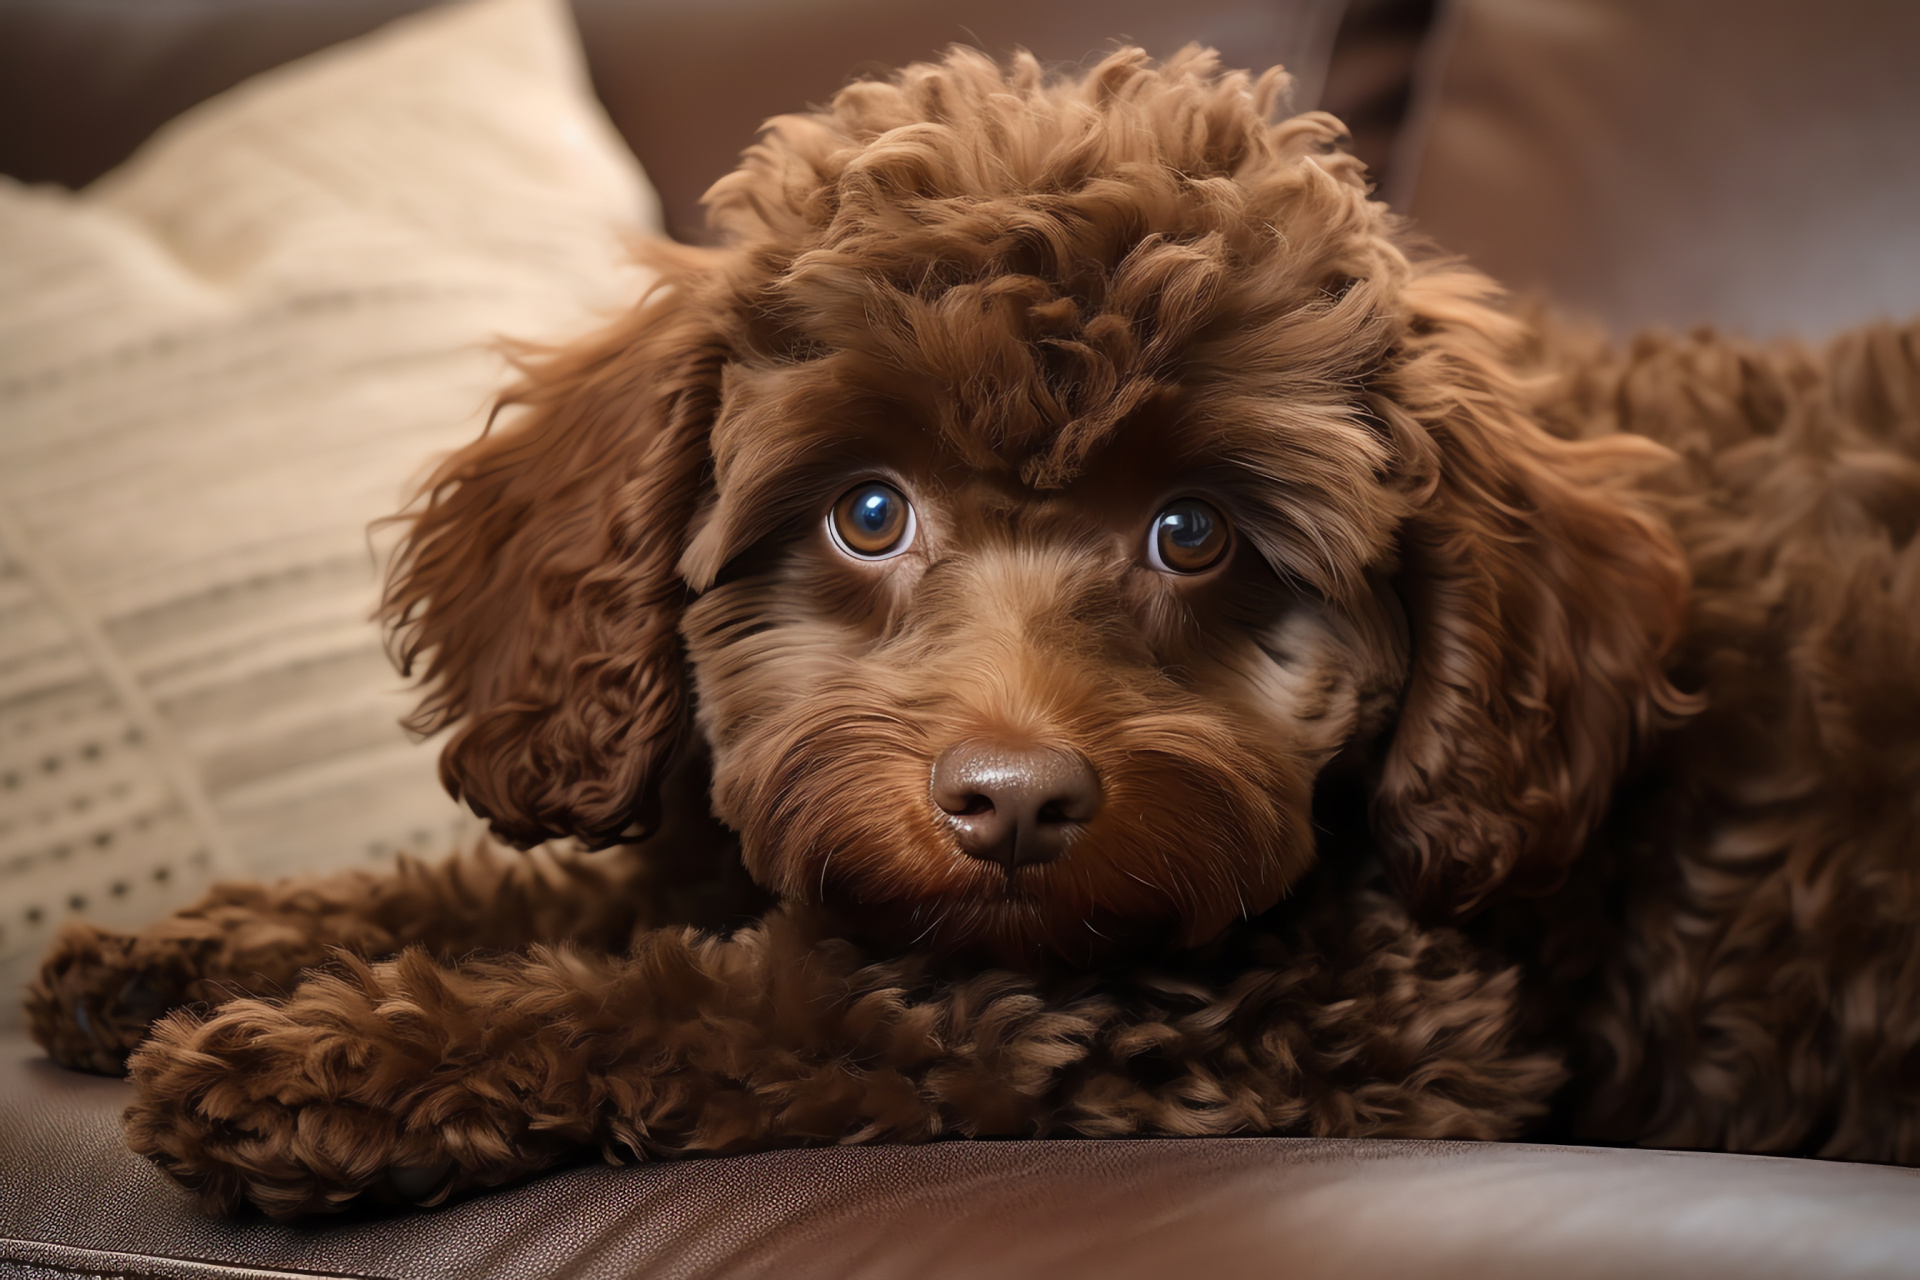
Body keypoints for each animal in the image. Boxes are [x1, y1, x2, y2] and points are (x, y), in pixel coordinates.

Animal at [26, 45, 1920, 1220]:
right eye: (868, 512)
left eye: (1193, 532)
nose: (1012, 806)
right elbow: (554, 888)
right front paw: (195, 948)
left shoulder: (1341, 1016)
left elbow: (730, 998)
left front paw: (333, 1059)